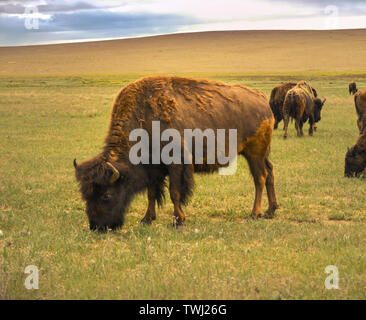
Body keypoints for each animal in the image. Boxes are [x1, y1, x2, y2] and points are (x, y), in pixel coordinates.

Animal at [74, 75, 280, 230]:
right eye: (85, 194)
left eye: (106, 195)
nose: (97, 227)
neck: (145, 118)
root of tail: (262, 99)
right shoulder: (153, 169)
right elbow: (151, 193)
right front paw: (146, 219)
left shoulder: (176, 164)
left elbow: (175, 192)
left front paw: (178, 220)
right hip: (262, 155)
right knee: (270, 173)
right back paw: (270, 211)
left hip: (254, 154)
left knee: (260, 178)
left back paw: (254, 214)